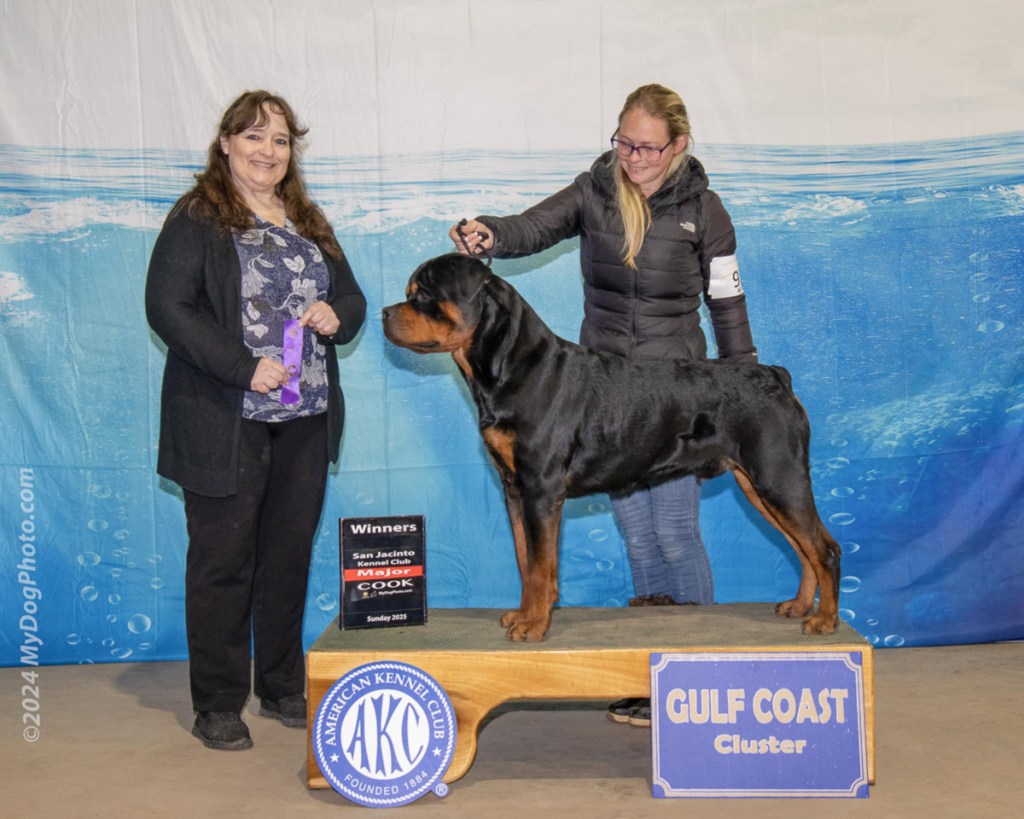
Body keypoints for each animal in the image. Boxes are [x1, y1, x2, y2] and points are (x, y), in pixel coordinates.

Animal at [382, 253, 841, 642]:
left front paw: (534, 625)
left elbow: (541, 564)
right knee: (802, 547)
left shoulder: (541, 489)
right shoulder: (514, 487)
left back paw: (824, 619)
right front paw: (524, 614)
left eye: (425, 294)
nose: (385, 313)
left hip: (778, 475)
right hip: (758, 482)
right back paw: (800, 606)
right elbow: (525, 561)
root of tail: (777, 377)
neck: (511, 367)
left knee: (823, 548)